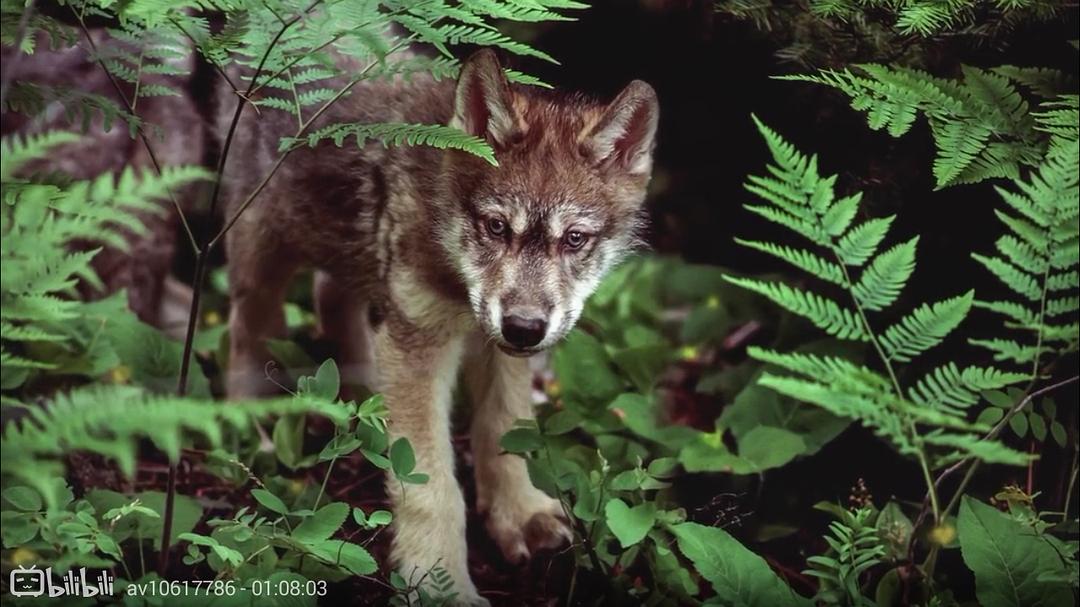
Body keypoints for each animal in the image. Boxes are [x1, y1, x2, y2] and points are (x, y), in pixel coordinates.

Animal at [220, 49, 658, 604]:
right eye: (496, 227)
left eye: (575, 239)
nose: (524, 328)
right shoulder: (420, 336)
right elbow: (434, 486)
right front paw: (438, 580)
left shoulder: (492, 347)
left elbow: (505, 430)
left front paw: (519, 513)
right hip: (262, 252)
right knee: (243, 332)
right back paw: (250, 426)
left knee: (331, 300)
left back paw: (365, 402)